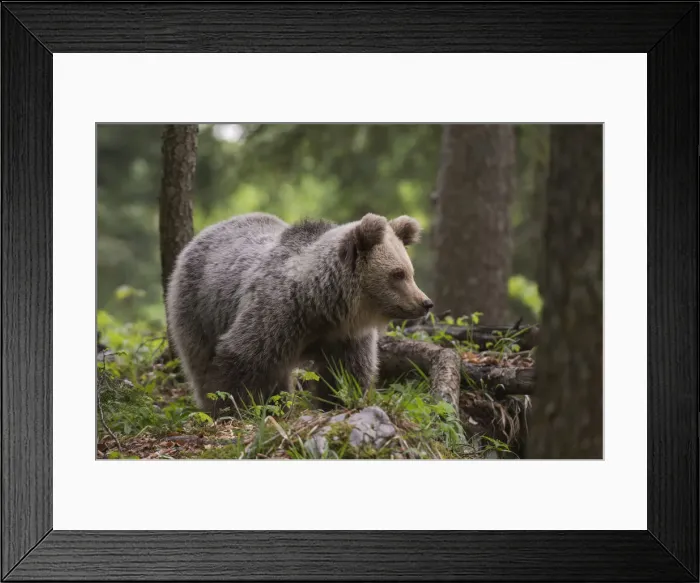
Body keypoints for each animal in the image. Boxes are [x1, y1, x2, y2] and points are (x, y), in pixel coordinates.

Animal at [165, 211, 433, 416]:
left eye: (410, 271)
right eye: (397, 274)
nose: (425, 302)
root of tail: (206, 232)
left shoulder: (345, 336)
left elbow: (347, 372)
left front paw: (340, 402)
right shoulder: (276, 316)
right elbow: (241, 359)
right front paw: (235, 408)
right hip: (198, 307)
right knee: (199, 360)